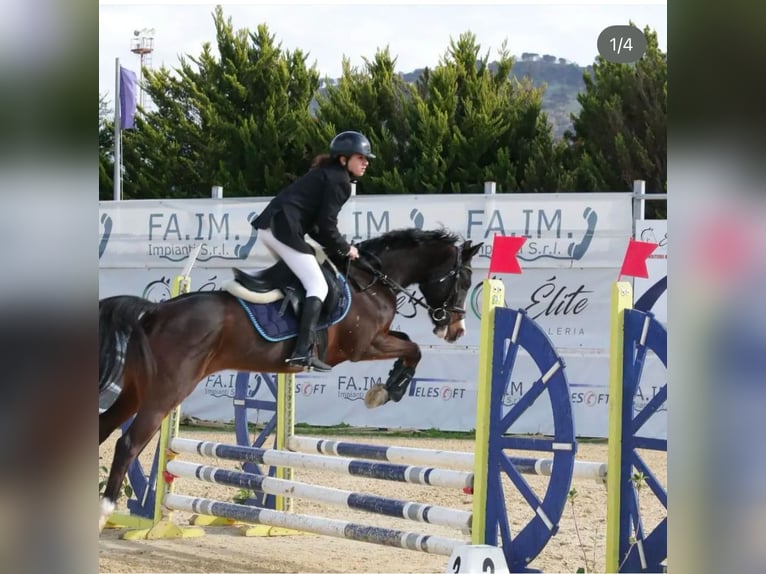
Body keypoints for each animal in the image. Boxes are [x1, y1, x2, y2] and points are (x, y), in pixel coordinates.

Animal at [99, 228, 484, 532]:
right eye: (463, 280)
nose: (456, 331)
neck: (370, 282)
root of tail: (154, 311)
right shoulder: (363, 346)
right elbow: (414, 349)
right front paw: (387, 391)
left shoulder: (378, 339)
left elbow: (408, 345)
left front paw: (387, 386)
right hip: (166, 393)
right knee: (128, 443)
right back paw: (104, 512)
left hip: (135, 391)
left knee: (105, 427)